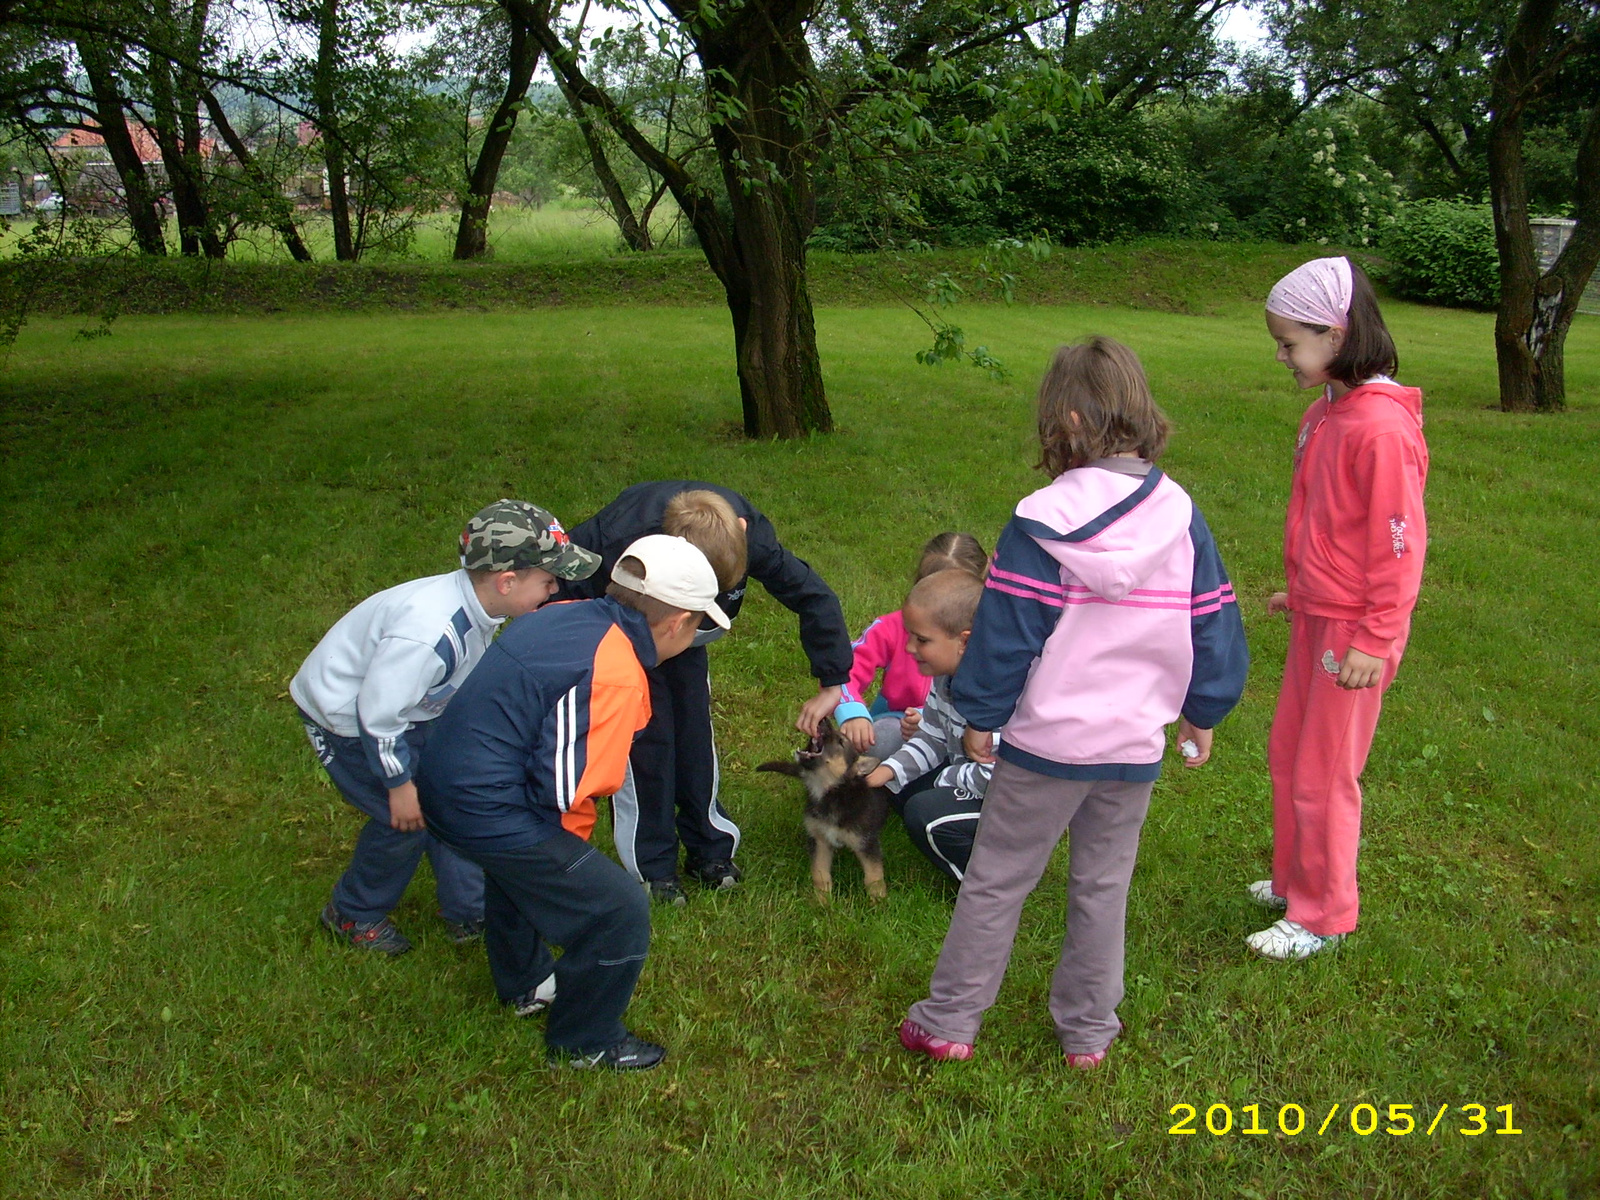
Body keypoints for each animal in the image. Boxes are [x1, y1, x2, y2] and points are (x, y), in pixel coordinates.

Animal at [758, 720, 896, 908]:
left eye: (841, 741)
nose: (823, 720)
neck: (830, 793)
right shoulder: (819, 841)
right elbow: (820, 874)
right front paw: (823, 901)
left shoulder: (866, 843)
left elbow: (874, 876)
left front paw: (877, 902)